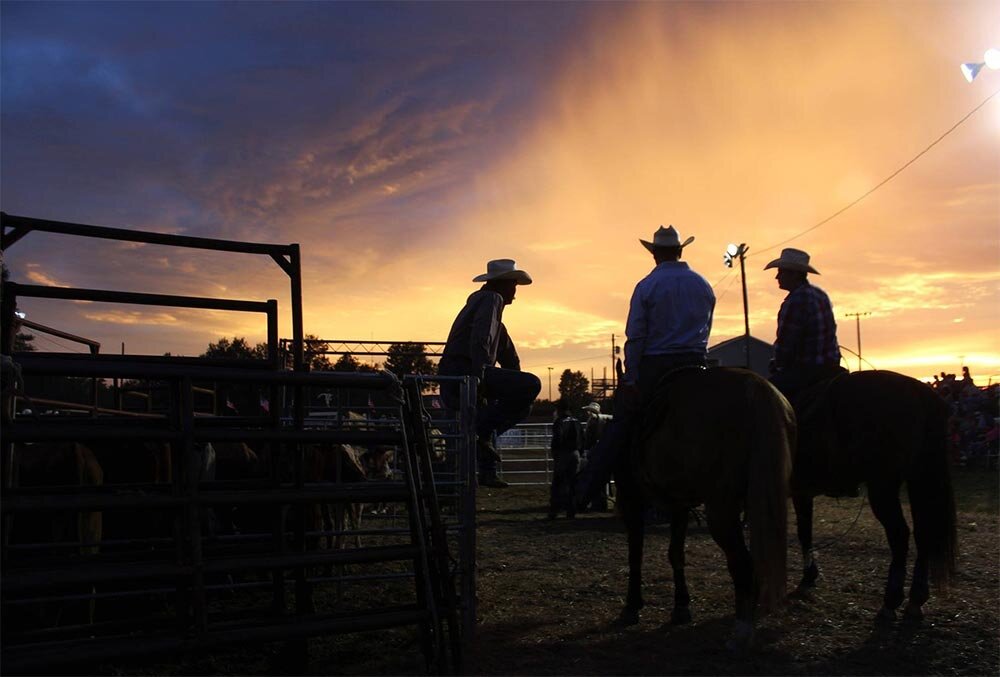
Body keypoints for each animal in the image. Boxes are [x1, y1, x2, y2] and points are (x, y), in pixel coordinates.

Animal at [616, 368, 796, 648]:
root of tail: (755, 387)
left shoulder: (630, 499)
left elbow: (635, 554)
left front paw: (632, 606)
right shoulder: (678, 505)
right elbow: (675, 554)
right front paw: (681, 606)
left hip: (721, 511)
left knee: (743, 564)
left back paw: (742, 631)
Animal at [788, 368, 960, 620]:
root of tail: (919, 391)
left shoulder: (796, 491)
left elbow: (801, 533)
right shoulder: (802, 492)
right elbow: (805, 532)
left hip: (883, 487)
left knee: (899, 535)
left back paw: (891, 601)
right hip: (918, 478)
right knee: (923, 533)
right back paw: (915, 600)